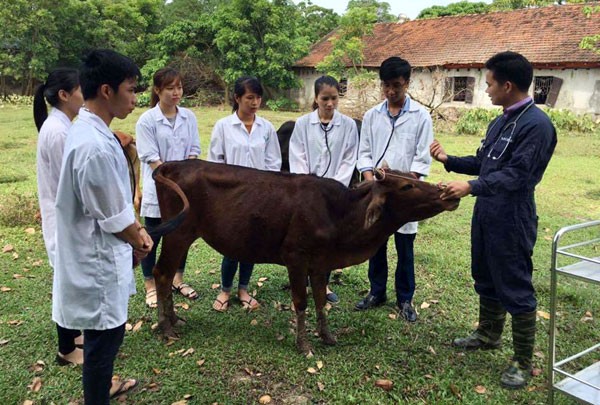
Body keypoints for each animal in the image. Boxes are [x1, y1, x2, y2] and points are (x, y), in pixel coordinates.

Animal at [150, 159, 460, 352]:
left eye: (413, 177)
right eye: (406, 186)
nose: (448, 193)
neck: (338, 213)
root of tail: (172, 164)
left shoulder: (321, 263)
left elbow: (321, 300)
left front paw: (327, 336)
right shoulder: (295, 258)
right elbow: (301, 301)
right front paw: (303, 344)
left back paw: (174, 320)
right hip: (178, 234)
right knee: (162, 273)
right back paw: (166, 327)